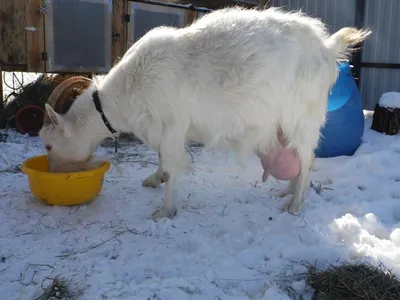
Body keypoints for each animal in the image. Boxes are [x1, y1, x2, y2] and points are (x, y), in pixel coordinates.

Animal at [39, 5, 372, 219]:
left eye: (49, 144)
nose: (52, 173)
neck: (129, 88)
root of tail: (327, 49)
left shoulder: (172, 125)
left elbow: (173, 165)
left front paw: (165, 210)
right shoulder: (162, 128)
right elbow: (161, 158)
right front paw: (154, 179)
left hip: (301, 117)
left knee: (307, 158)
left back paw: (295, 204)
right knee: (299, 159)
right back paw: (287, 193)